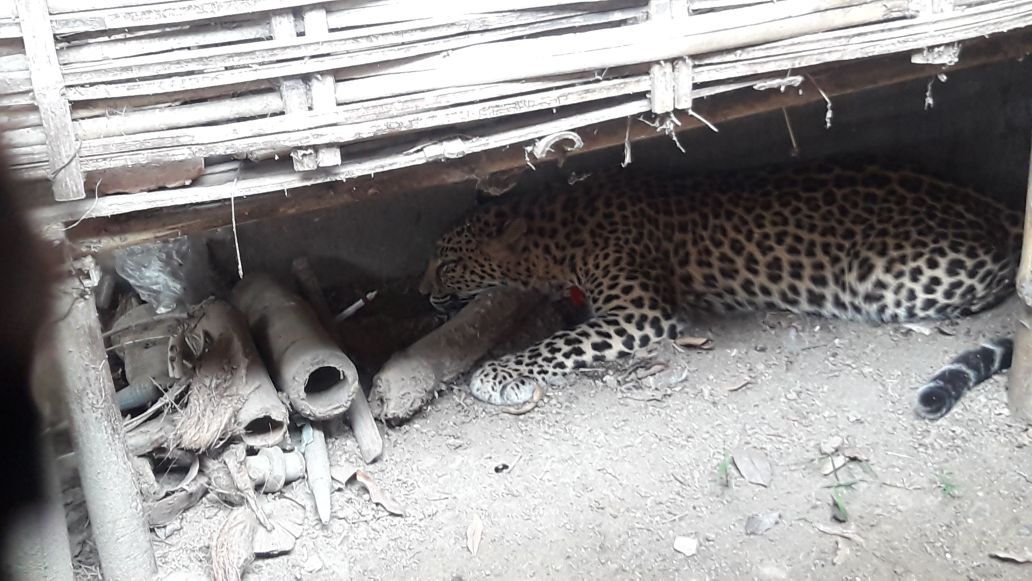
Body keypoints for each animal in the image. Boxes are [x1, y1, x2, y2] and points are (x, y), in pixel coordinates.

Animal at [418, 158, 1023, 420]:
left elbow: (558, 345)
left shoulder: (639, 312)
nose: (422, 292)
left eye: (448, 262)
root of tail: (1002, 207)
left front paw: (498, 374)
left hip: (882, 279)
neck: (555, 234)